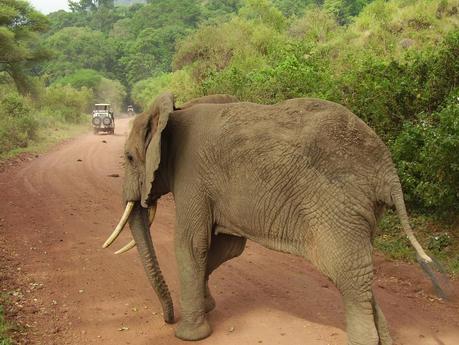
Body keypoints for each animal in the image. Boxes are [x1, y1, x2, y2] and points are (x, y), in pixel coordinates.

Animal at [104, 92, 438, 344]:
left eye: (130, 158)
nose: (168, 318)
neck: (173, 113)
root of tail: (387, 168)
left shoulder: (192, 178)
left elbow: (191, 245)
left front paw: (188, 335)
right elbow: (226, 248)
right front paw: (208, 306)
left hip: (339, 205)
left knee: (347, 272)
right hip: (360, 209)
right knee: (359, 274)